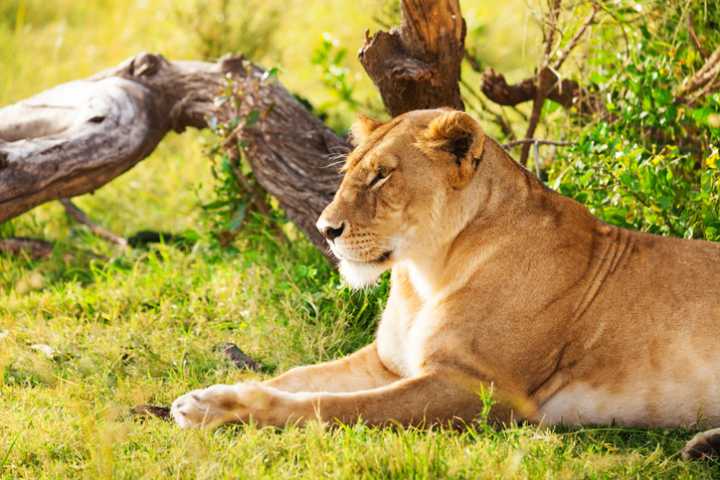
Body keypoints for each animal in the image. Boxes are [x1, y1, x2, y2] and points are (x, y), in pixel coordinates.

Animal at [171, 108, 720, 458]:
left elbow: (336, 406)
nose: (326, 229)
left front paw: (220, 408)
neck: (425, 273)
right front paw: (209, 393)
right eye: (351, 171)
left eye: (382, 176)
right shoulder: (385, 362)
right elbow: (297, 376)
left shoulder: (481, 389)